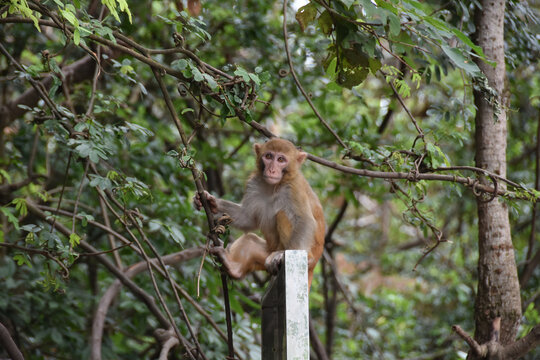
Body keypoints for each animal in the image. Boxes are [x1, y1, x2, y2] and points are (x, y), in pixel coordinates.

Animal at [194, 139, 324, 290]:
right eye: (268, 156)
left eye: (281, 159)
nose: (272, 170)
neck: (273, 186)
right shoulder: (254, 183)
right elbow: (247, 218)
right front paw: (210, 202)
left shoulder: (294, 188)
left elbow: (304, 221)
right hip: (266, 253)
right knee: (250, 240)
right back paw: (233, 267)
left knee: (282, 215)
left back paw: (295, 256)